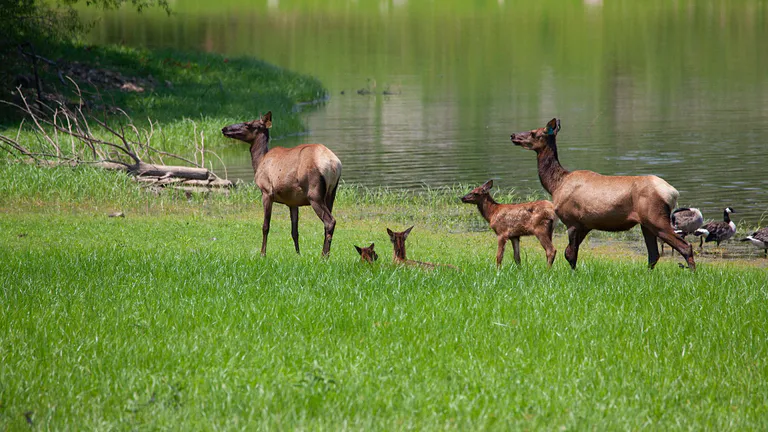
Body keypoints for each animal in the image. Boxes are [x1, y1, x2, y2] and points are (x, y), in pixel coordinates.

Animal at [221, 112, 342, 257]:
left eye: (248, 124)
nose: (224, 128)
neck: (259, 162)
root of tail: (333, 164)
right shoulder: (293, 202)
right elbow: (294, 231)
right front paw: (298, 254)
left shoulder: (266, 192)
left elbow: (265, 226)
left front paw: (262, 253)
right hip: (331, 193)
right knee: (327, 223)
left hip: (314, 194)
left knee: (330, 221)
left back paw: (324, 256)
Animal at [510, 118, 696, 271]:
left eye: (534, 133)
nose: (513, 135)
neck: (555, 184)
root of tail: (673, 192)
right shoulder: (584, 224)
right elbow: (570, 253)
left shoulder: (571, 220)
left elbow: (570, 254)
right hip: (646, 224)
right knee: (653, 255)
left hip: (656, 219)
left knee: (685, 247)